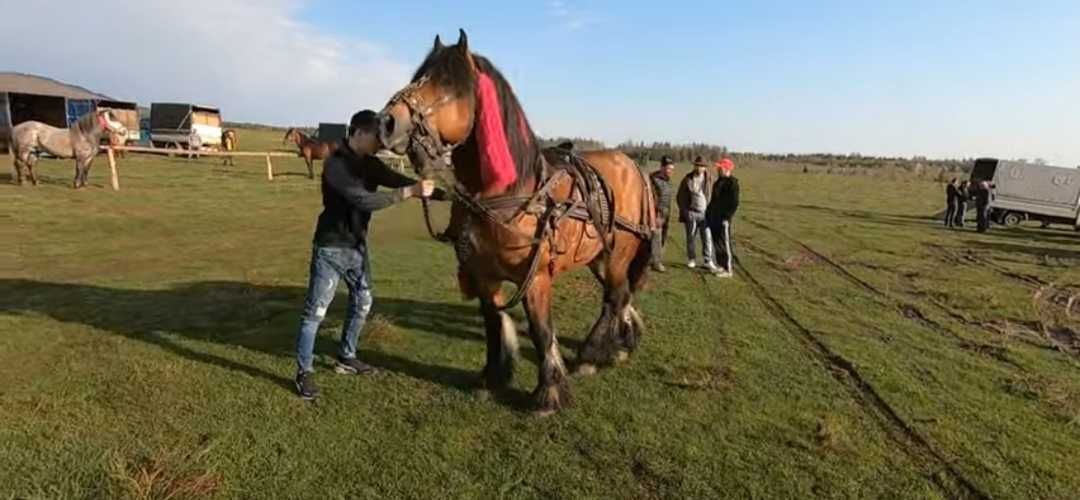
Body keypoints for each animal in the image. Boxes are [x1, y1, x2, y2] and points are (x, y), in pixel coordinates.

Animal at [375, 30, 652, 414]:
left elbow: (541, 330)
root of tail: (633, 166)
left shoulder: (534, 279)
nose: (386, 122)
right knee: (621, 295)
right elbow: (494, 323)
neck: (509, 193)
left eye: (448, 82)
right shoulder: (482, 275)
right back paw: (622, 341)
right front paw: (493, 377)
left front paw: (548, 394)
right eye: (419, 75)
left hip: (617, 254)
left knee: (614, 297)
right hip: (599, 256)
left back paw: (592, 355)